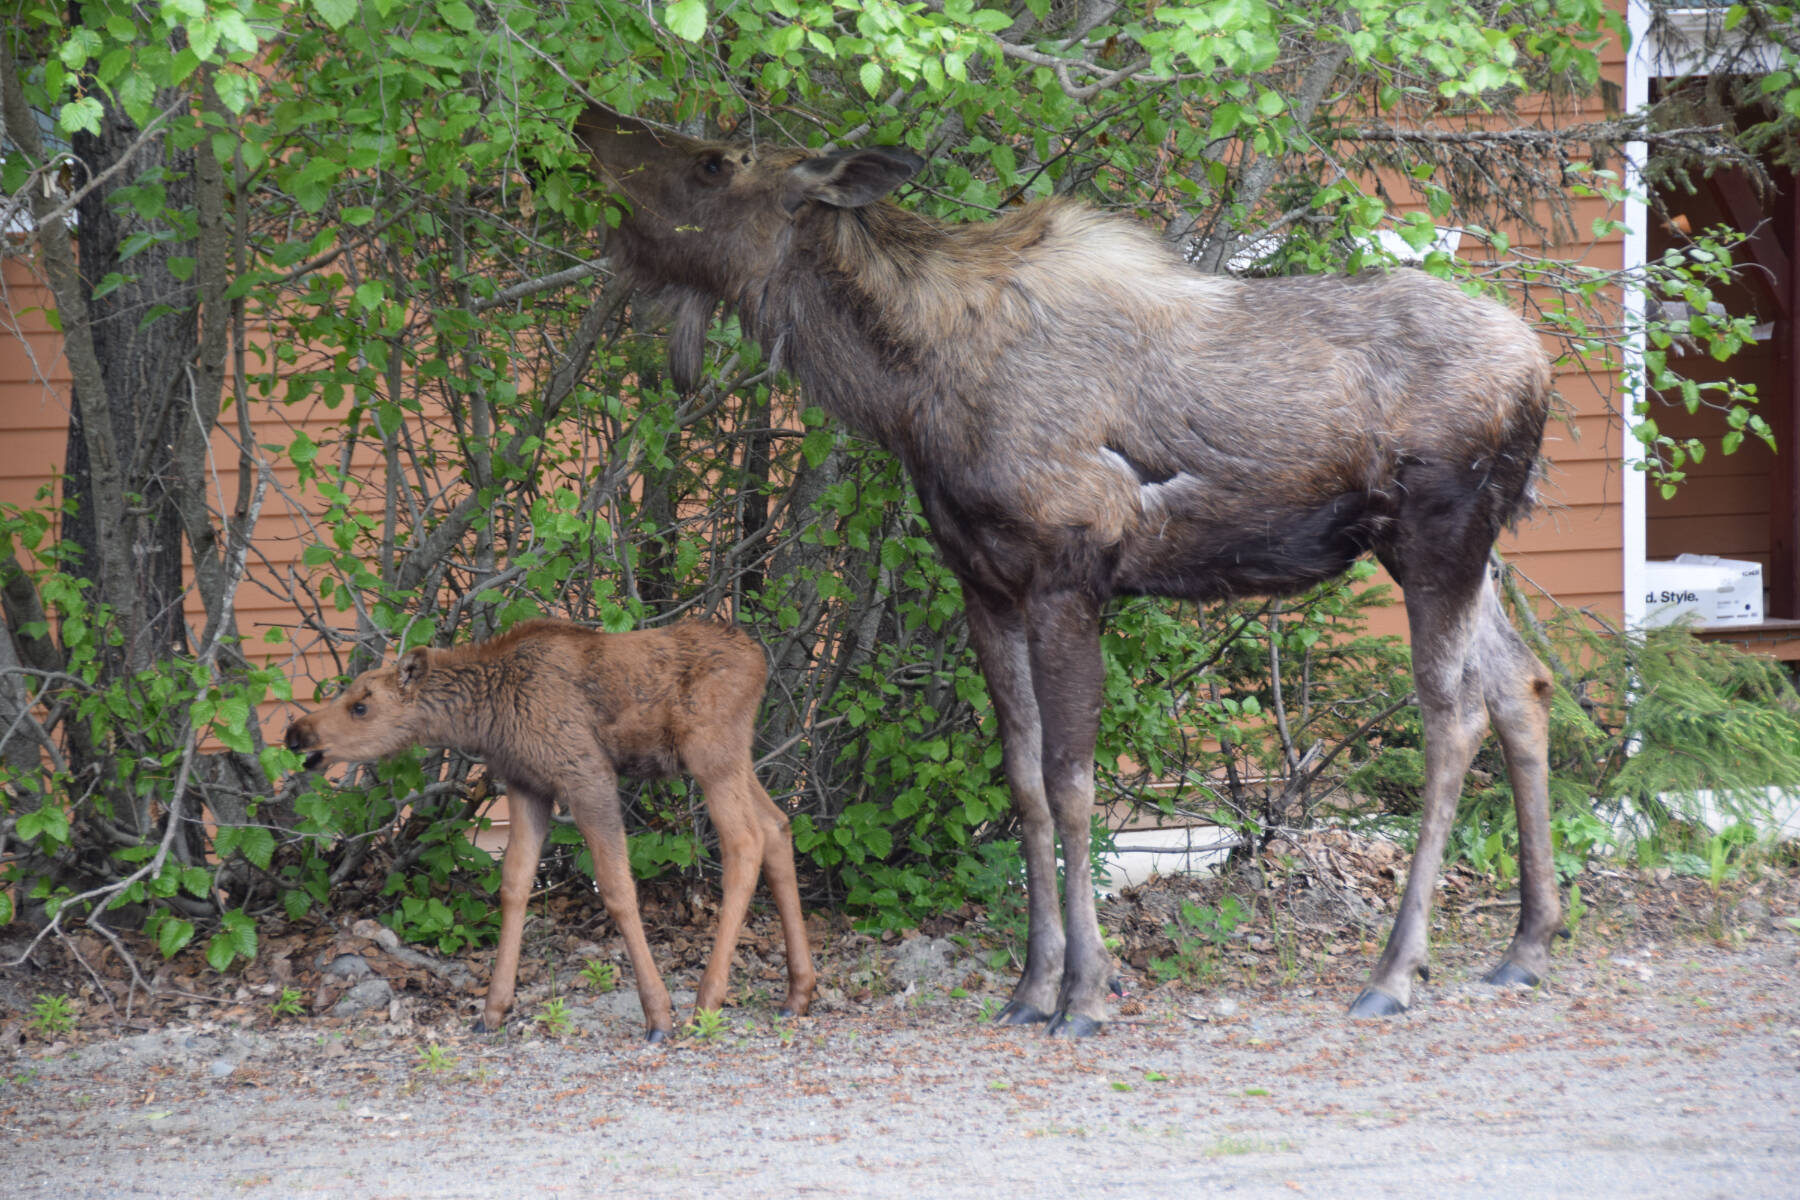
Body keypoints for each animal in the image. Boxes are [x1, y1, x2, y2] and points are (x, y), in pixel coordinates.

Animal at [284, 618, 817, 1042]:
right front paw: (492, 1010)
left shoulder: (587, 775)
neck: (487, 717)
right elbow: (514, 884)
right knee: (777, 824)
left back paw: (708, 999)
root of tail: (760, 661)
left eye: (361, 706)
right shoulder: (527, 786)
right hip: (734, 757)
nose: (295, 733)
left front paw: (658, 1015)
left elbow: (617, 888)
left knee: (744, 840)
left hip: (710, 754)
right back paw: (798, 992)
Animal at [571, 102, 1561, 1036]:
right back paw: (1524, 945)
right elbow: (1021, 783)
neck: (906, 394)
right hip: (1471, 551)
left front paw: (1084, 991)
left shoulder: (1067, 577)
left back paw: (1396, 971)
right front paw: (1030, 986)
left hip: (1436, 537)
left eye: (716, 161)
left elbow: (1071, 783)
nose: (589, 122)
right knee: (1522, 681)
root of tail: (1542, 371)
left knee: (1453, 716)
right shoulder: (986, 587)